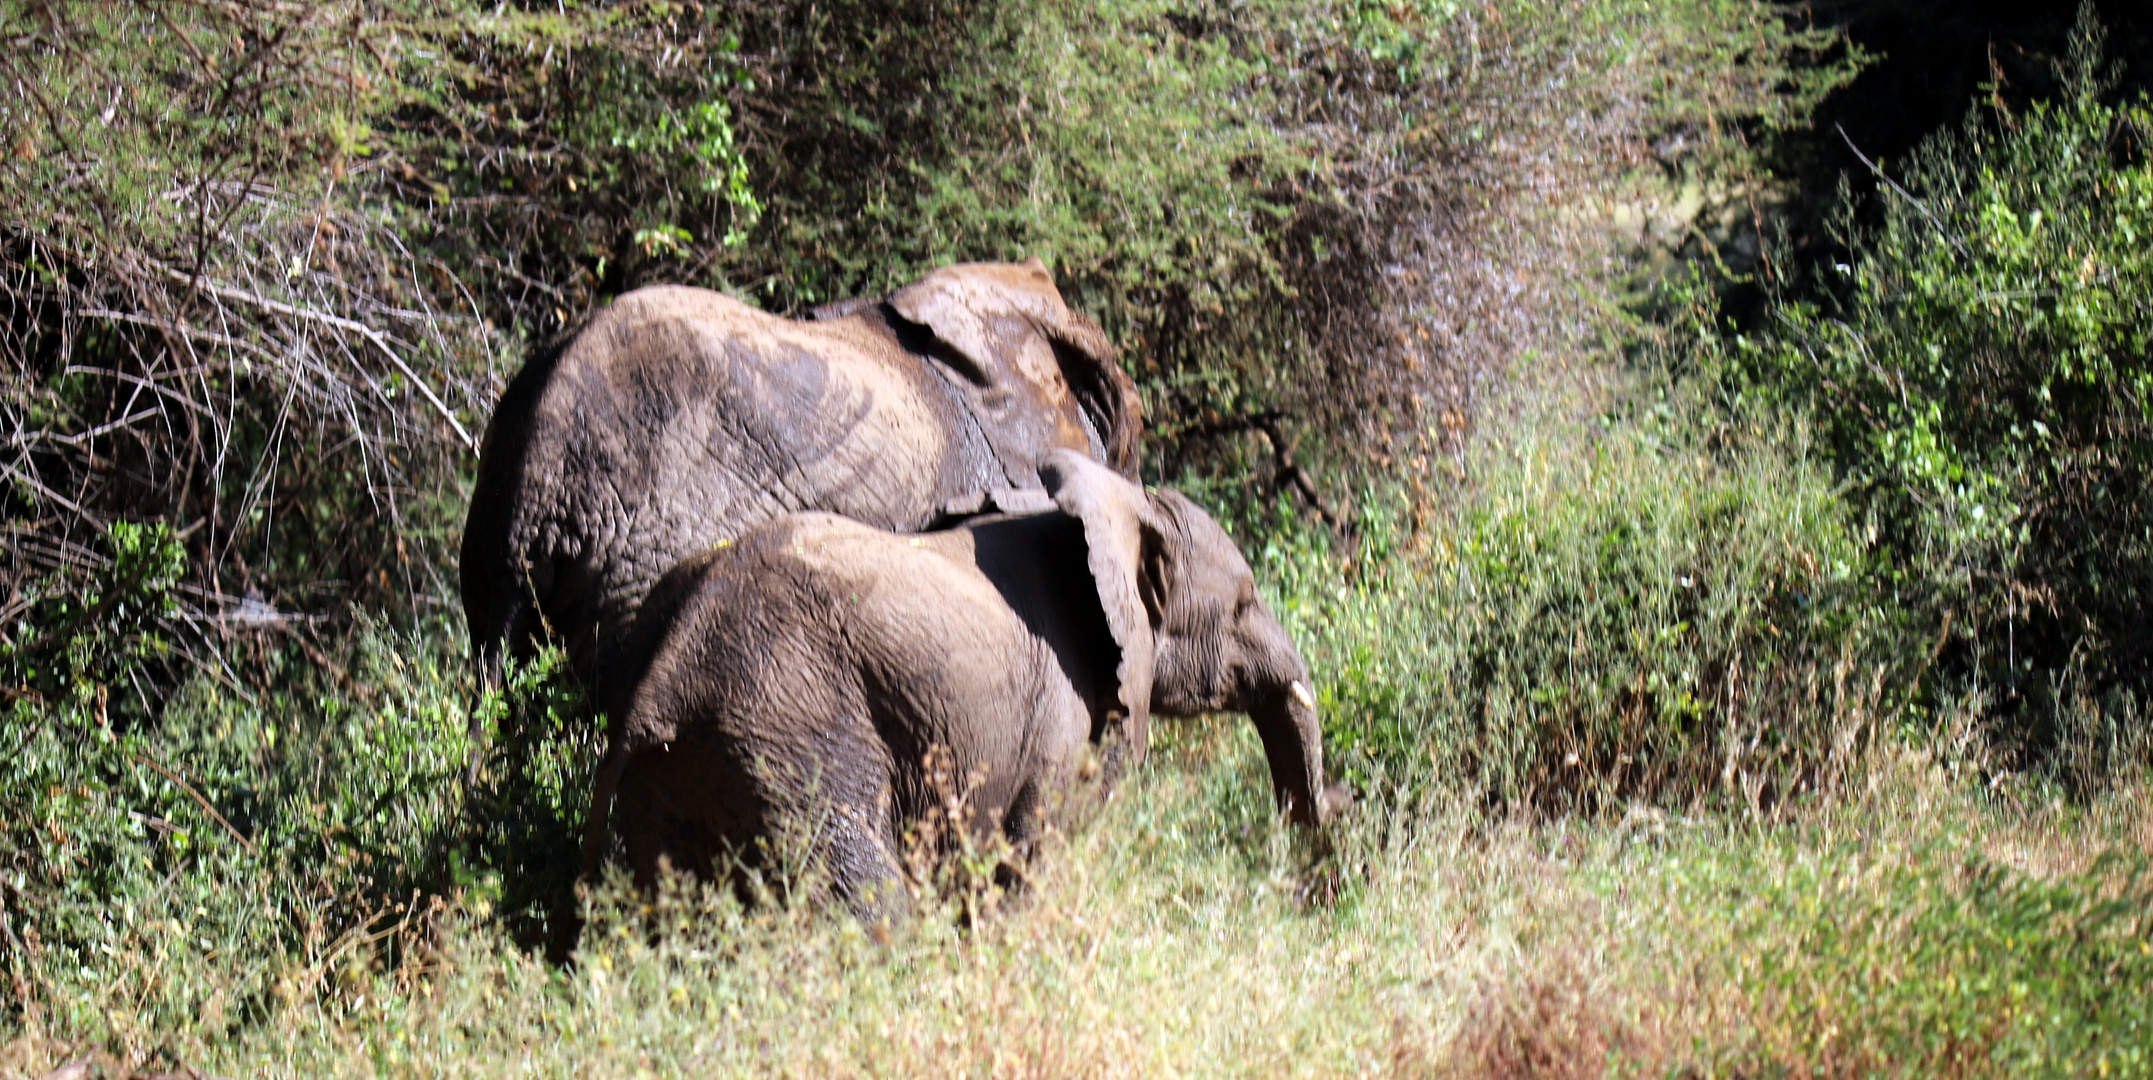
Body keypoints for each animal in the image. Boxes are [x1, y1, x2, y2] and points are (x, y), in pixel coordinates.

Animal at [581, 447, 1334, 912]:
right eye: (1242, 604)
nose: (1309, 875)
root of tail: (664, 674)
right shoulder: (1055, 707)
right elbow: (1032, 844)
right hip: (786, 727)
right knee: (863, 892)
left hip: (680, 765)